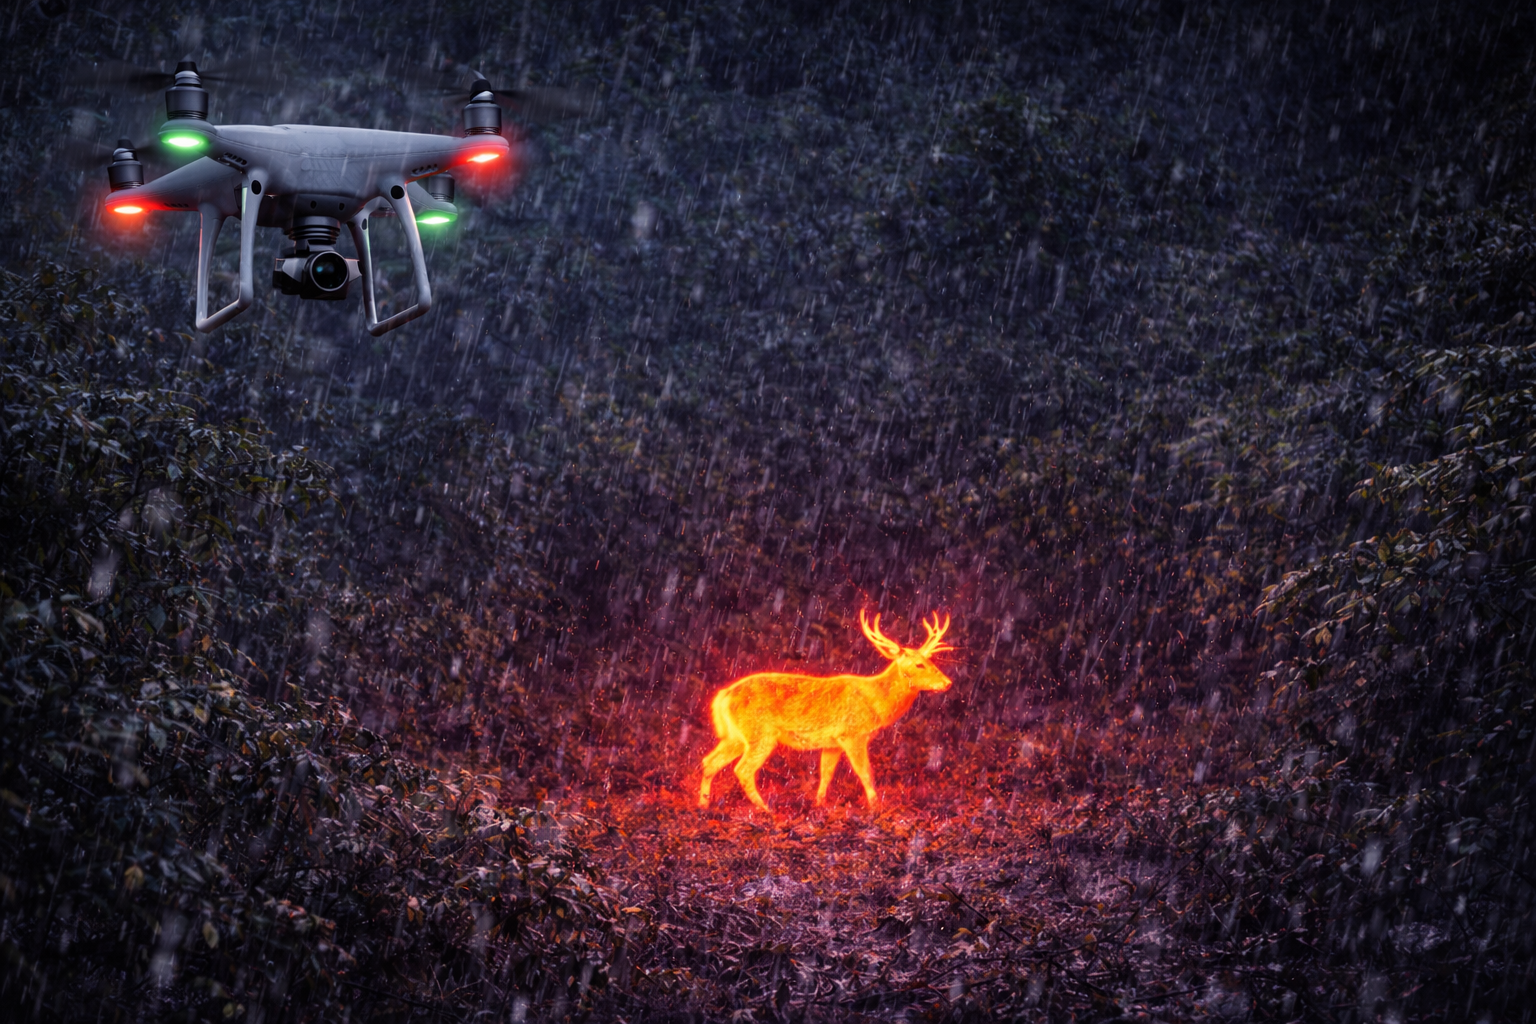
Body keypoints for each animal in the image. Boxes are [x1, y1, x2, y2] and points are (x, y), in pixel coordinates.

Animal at [697, 610, 954, 814]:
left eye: (931, 661)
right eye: (919, 665)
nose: (947, 682)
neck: (877, 702)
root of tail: (723, 696)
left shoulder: (832, 743)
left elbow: (826, 775)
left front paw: (819, 806)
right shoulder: (853, 734)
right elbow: (866, 773)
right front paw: (876, 809)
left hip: (735, 736)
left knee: (709, 761)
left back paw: (703, 805)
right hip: (760, 733)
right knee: (742, 769)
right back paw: (766, 811)